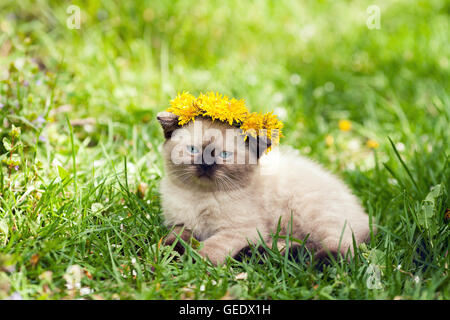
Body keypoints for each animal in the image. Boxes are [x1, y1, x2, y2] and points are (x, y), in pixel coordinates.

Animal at [156, 111, 374, 266]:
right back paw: (257, 253)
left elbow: (208, 249)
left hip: (314, 214)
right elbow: (175, 238)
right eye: (193, 150)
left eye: (224, 155)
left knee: (341, 247)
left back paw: (319, 264)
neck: (199, 196)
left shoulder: (239, 230)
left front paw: (191, 263)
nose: (205, 165)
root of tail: (362, 211)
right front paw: (169, 253)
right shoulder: (181, 223)